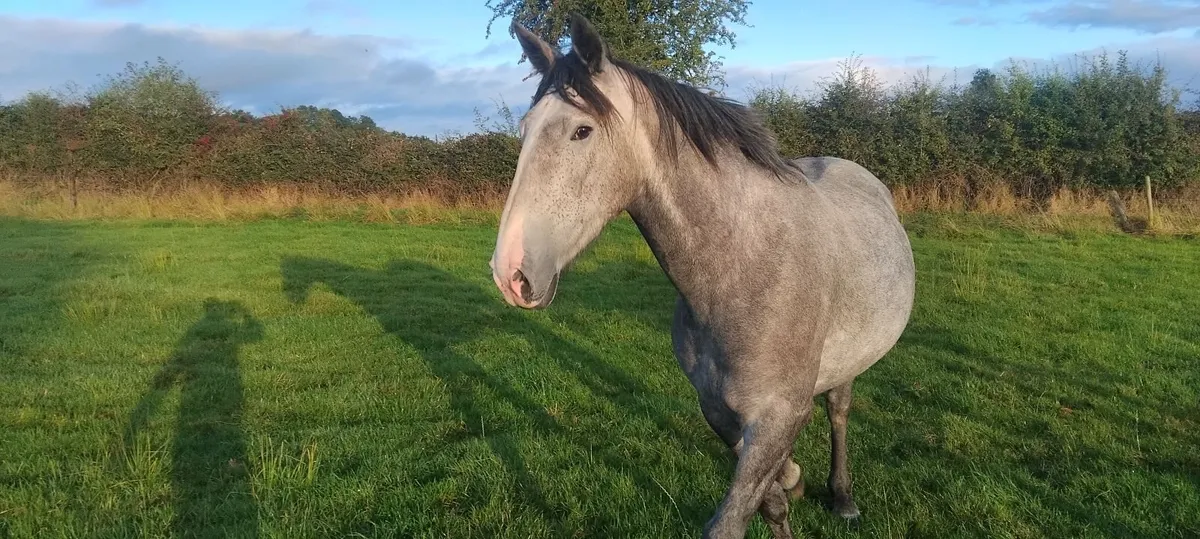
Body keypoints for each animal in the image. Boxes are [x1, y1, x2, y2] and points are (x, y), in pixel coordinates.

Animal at [489, 14, 916, 539]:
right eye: (525, 129)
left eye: (581, 131)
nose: (510, 273)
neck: (739, 271)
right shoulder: (719, 411)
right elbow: (771, 503)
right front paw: (789, 479)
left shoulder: (778, 415)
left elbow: (731, 520)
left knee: (838, 411)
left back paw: (843, 496)